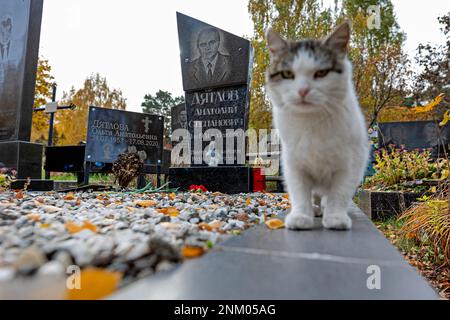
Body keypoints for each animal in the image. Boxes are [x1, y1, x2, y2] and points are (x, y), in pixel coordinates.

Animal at [266, 21, 368, 230]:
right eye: (287, 74)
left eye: (321, 73)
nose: (303, 90)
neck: (311, 122)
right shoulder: (294, 163)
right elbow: (300, 192)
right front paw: (301, 216)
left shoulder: (350, 163)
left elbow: (339, 193)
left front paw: (336, 217)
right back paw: (315, 209)